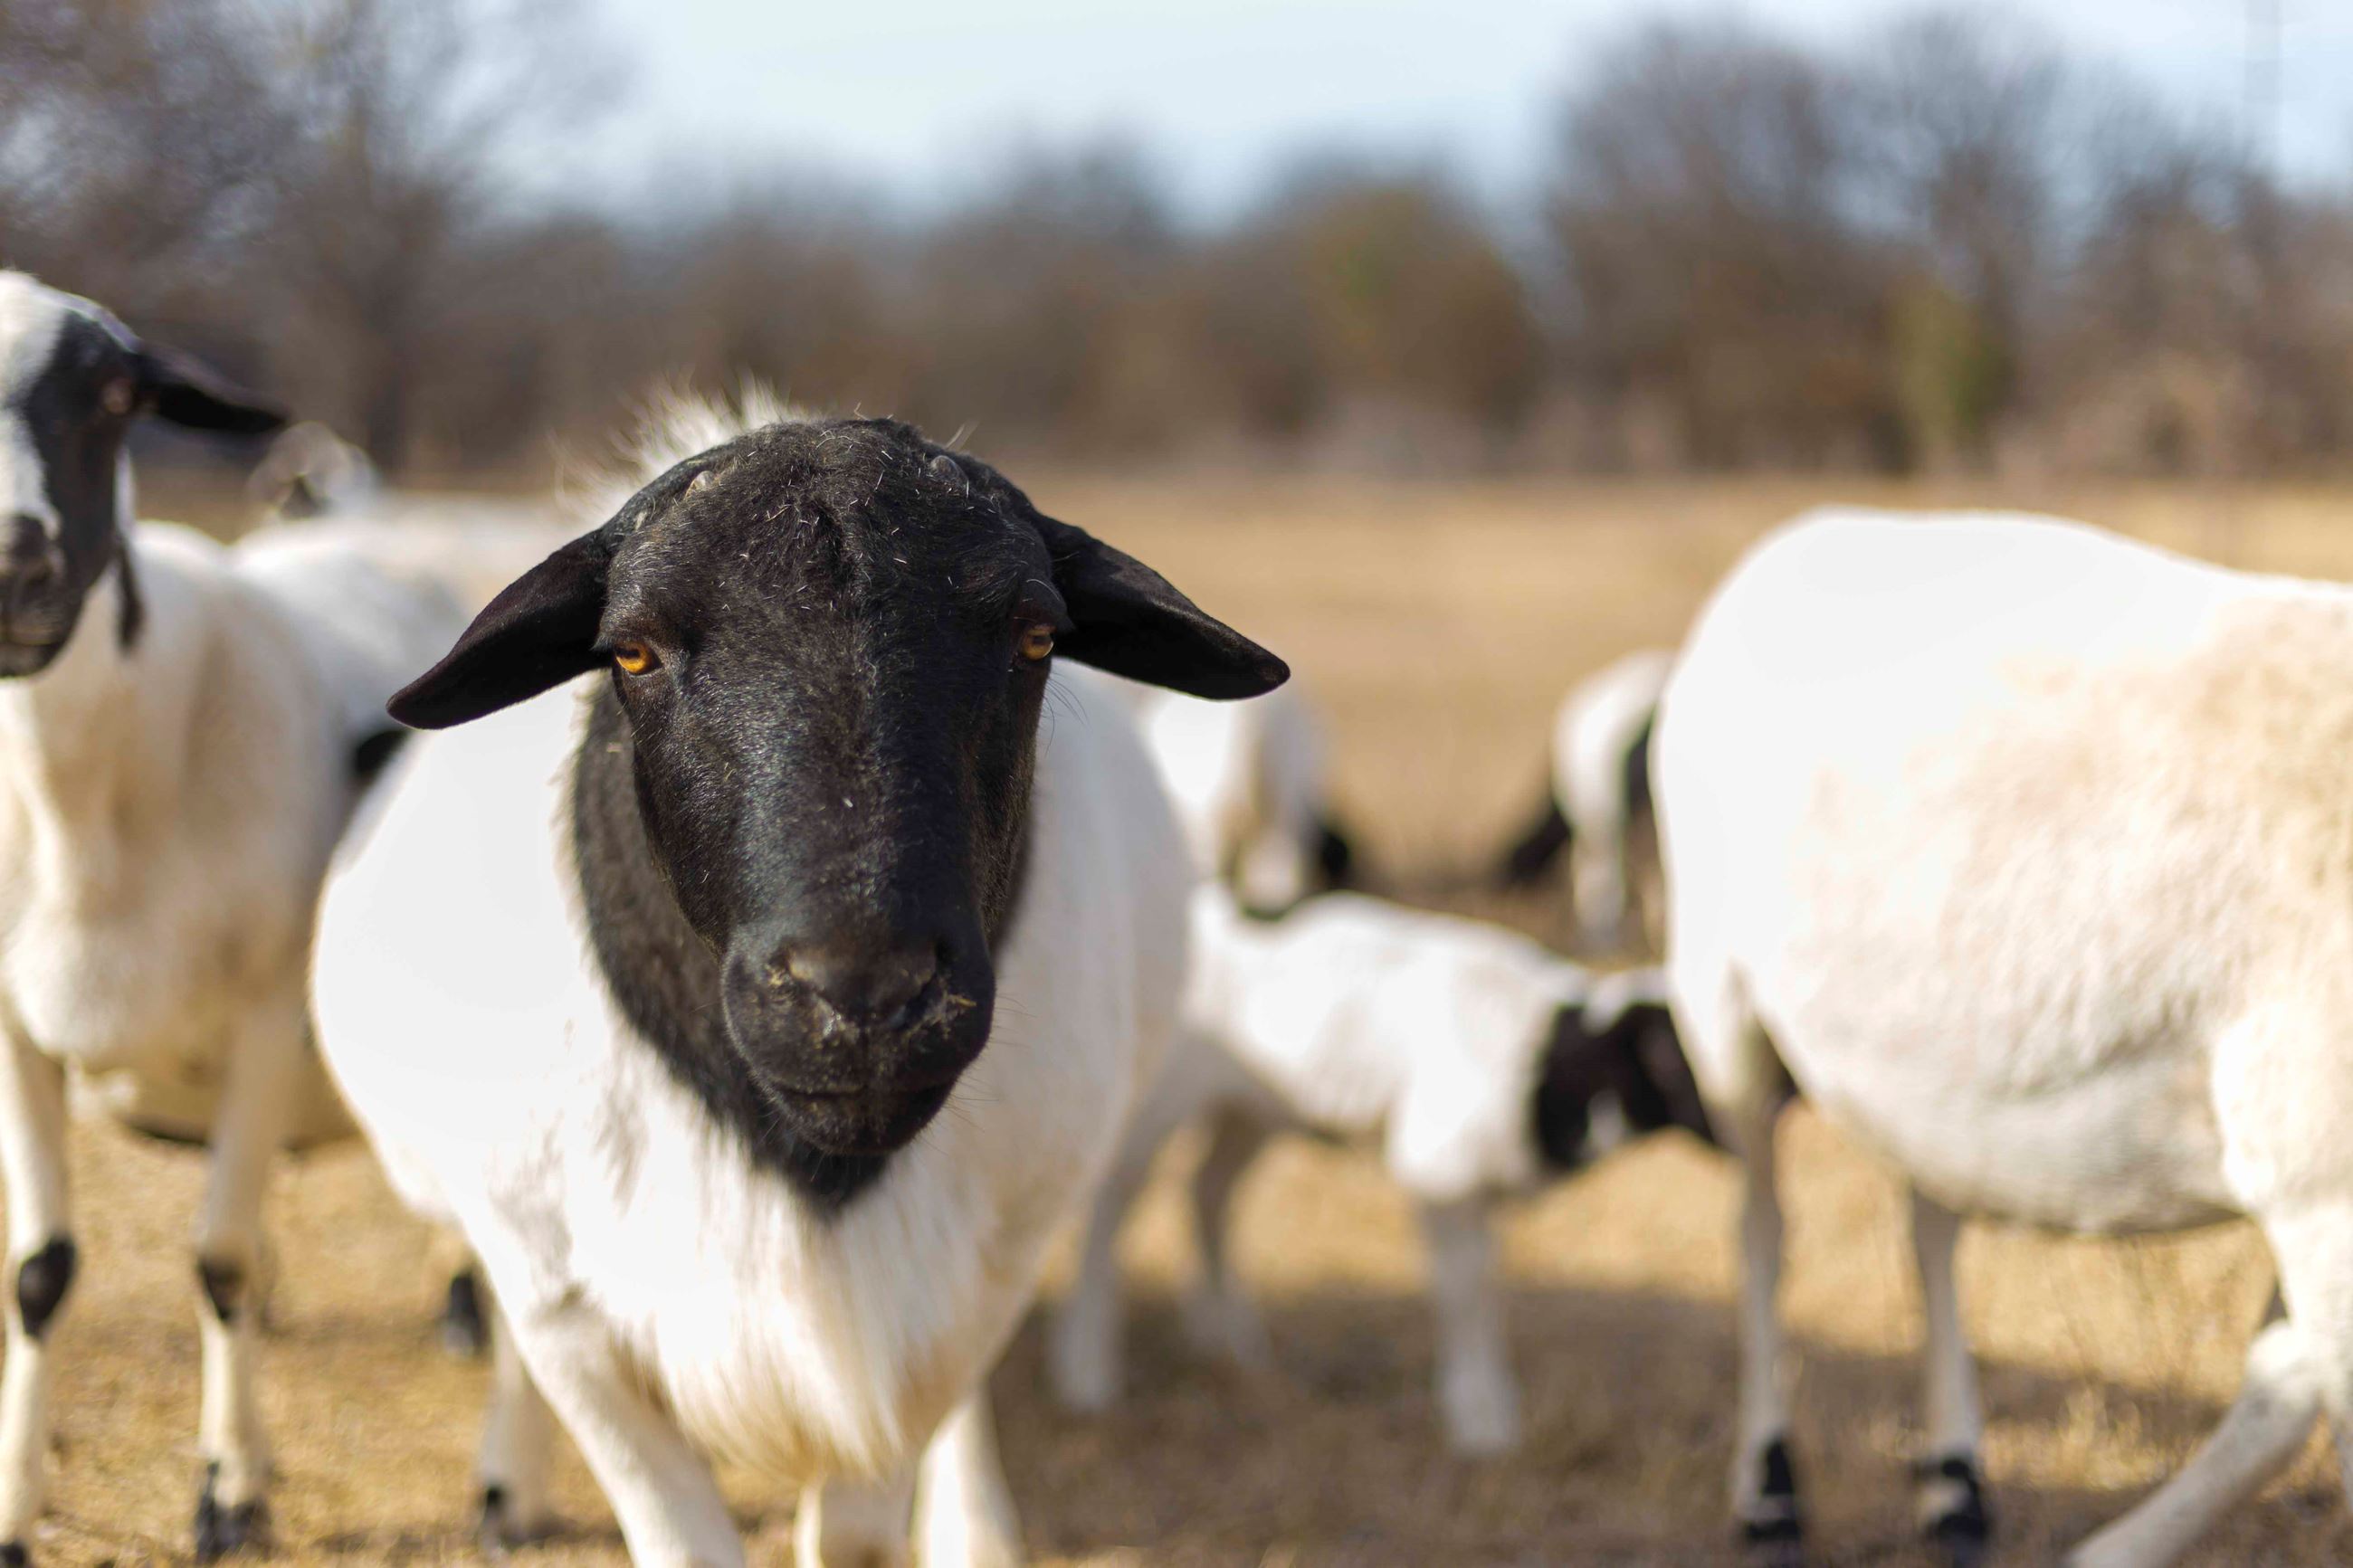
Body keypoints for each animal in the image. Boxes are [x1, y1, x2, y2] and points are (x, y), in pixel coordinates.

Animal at [0, 270, 473, 1562]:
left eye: (116, 393)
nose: (12, 559)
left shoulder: (268, 1009)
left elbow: (215, 1262)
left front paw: (230, 1493)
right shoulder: (8, 1027)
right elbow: (40, 1271)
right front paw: (11, 1505)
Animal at [1048, 885, 1714, 1456]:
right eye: (1673, 1054)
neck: (1546, 1066)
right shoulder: (1439, 1171)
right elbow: (1468, 1288)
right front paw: (1481, 1415)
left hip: (1250, 1107)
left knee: (1208, 1189)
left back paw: (1230, 1341)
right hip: (1149, 1100)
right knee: (1108, 1207)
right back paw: (1087, 1368)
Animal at [1655, 505, 2353, 1567]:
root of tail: (1802, 531)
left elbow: (2283, 1381)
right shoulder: (2317, 1174)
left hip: (1922, 1066)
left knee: (1928, 1223)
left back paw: (1954, 1482)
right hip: (1717, 999)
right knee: (1761, 1231)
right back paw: (1769, 1488)